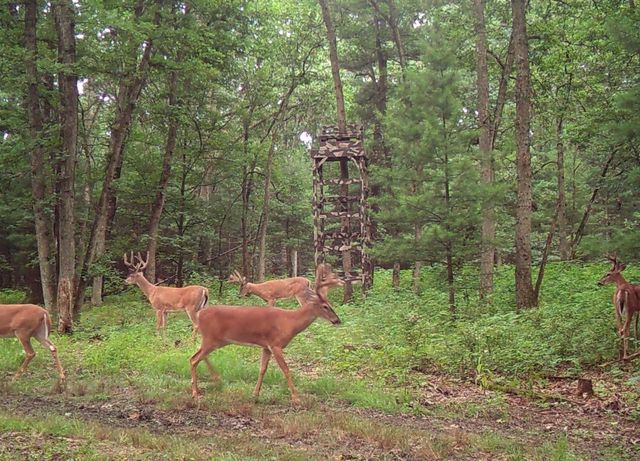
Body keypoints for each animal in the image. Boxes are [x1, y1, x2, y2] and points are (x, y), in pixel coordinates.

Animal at [190, 264, 343, 403]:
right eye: (325, 306)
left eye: (330, 304)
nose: (337, 320)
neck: (290, 322)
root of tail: (199, 315)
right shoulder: (276, 344)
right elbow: (286, 369)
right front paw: (296, 398)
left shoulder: (266, 346)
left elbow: (262, 369)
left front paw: (255, 394)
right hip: (211, 339)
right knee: (194, 359)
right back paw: (196, 393)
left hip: (216, 340)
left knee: (198, 355)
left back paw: (213, 381)